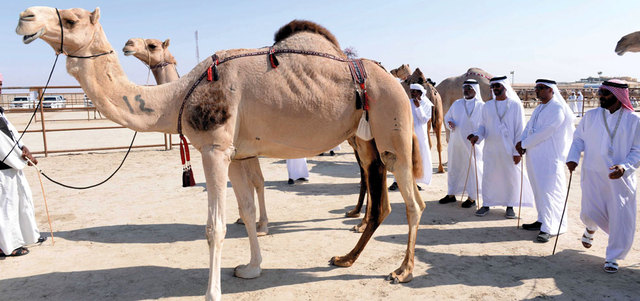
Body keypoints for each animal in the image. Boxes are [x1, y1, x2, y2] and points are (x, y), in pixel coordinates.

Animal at [20, 6, 428, 298]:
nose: (24, 17)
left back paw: (403, 271)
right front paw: (251, 268)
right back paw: (345, 258)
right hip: (365, 139)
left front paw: (212, 293)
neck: (178, 97)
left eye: (70, 19)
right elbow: (245, 214)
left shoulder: (214, 148)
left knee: (413, 202)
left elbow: (214, 226)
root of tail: (395, 80)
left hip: (393, 128)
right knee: (383, 201)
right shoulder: (236, 154)